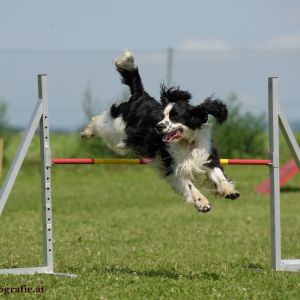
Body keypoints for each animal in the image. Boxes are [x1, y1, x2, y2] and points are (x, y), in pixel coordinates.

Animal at [80, 49, 239, 213]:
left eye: (175, 116)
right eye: (163, 116)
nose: (158, 126)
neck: (187, 142)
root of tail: (140, 95)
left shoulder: (206, 155)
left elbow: (218, 174)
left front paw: (229, 190)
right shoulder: (172, 165)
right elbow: (188, 184)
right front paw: (202, 203)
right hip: (117, 130)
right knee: (99, 122)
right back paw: (87, 132)